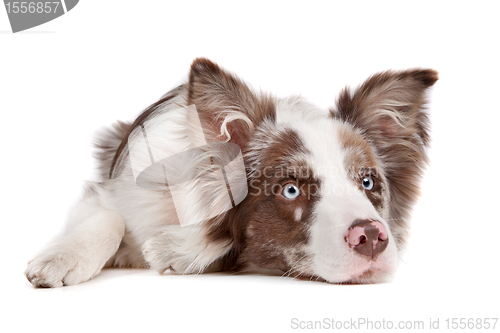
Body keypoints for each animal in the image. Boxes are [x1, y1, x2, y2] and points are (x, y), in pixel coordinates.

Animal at [24, 57, 438, 286]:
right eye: (290, 190)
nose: (372, 236)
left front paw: (181, 250)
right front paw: (61, 258)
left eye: (368, 182)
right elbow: (108, 218)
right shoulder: (113, 195)